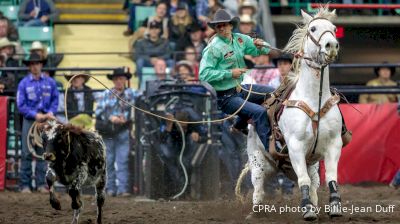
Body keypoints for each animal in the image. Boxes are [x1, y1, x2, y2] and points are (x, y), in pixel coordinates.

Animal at [238, 6, 344, 220]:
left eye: (334, 29)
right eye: (313, 28)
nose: (331, 45)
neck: (314, 99)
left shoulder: (334, 143)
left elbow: (331, 176)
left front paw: (334, 206)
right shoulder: (295, 146)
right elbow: (302, 179)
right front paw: (307, 210)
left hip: (311, 165)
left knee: (314, 183)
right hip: (257, 162)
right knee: (258, 189)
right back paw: (255, 213)